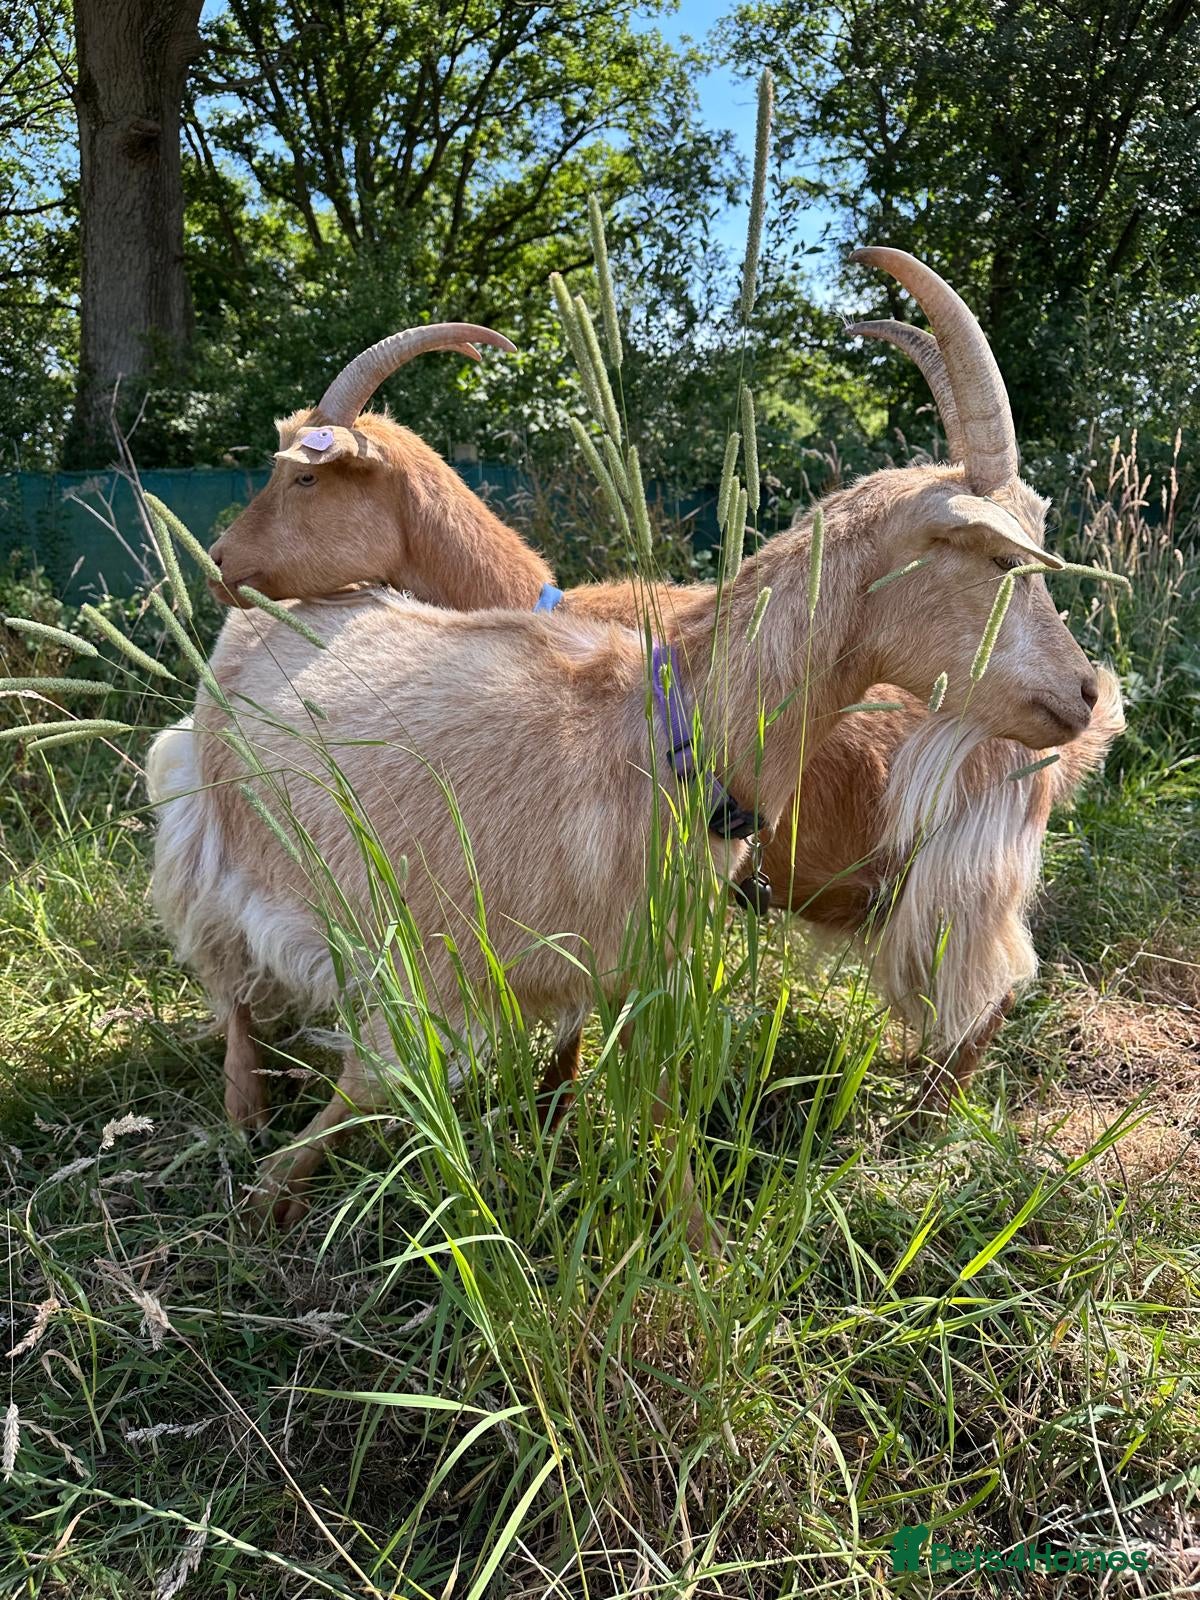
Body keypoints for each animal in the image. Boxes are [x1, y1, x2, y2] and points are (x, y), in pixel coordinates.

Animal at [149, 248, 1117, 1227]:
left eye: (304, 477)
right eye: (1001, 557)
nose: (1080, 690)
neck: (659, 727)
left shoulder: (634, 963)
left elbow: (650, 1103)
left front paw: (692, 1236)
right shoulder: (447, 948)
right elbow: (382, 1078)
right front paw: (270, 1193)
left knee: (987, 997)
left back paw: (921, 1126)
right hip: (207, 824)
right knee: (224, 968)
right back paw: (245, 1104)